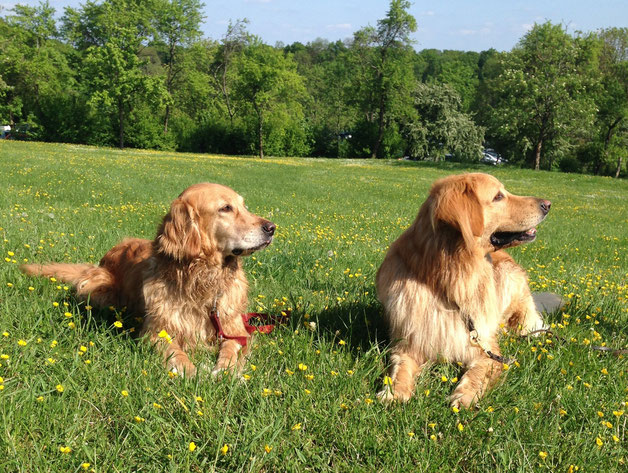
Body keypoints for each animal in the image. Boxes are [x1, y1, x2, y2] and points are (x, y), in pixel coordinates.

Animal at [23, 183, 274, 374]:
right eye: (226, 208)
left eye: (244, 206)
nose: (271, 227)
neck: (202, 280)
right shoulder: (156, 332)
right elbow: (175, 351)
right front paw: (189, 371)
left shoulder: (235, 328)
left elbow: (232, 348)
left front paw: (225, 370)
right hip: (98, 290)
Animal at [378, 172, 548, 406]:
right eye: (498, 196)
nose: (547, 204)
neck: (451, 281)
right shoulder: (408, 343)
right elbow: (400, 368)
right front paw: (394, 392)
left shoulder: (486, 349)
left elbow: (476, 373)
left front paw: (464, 395)